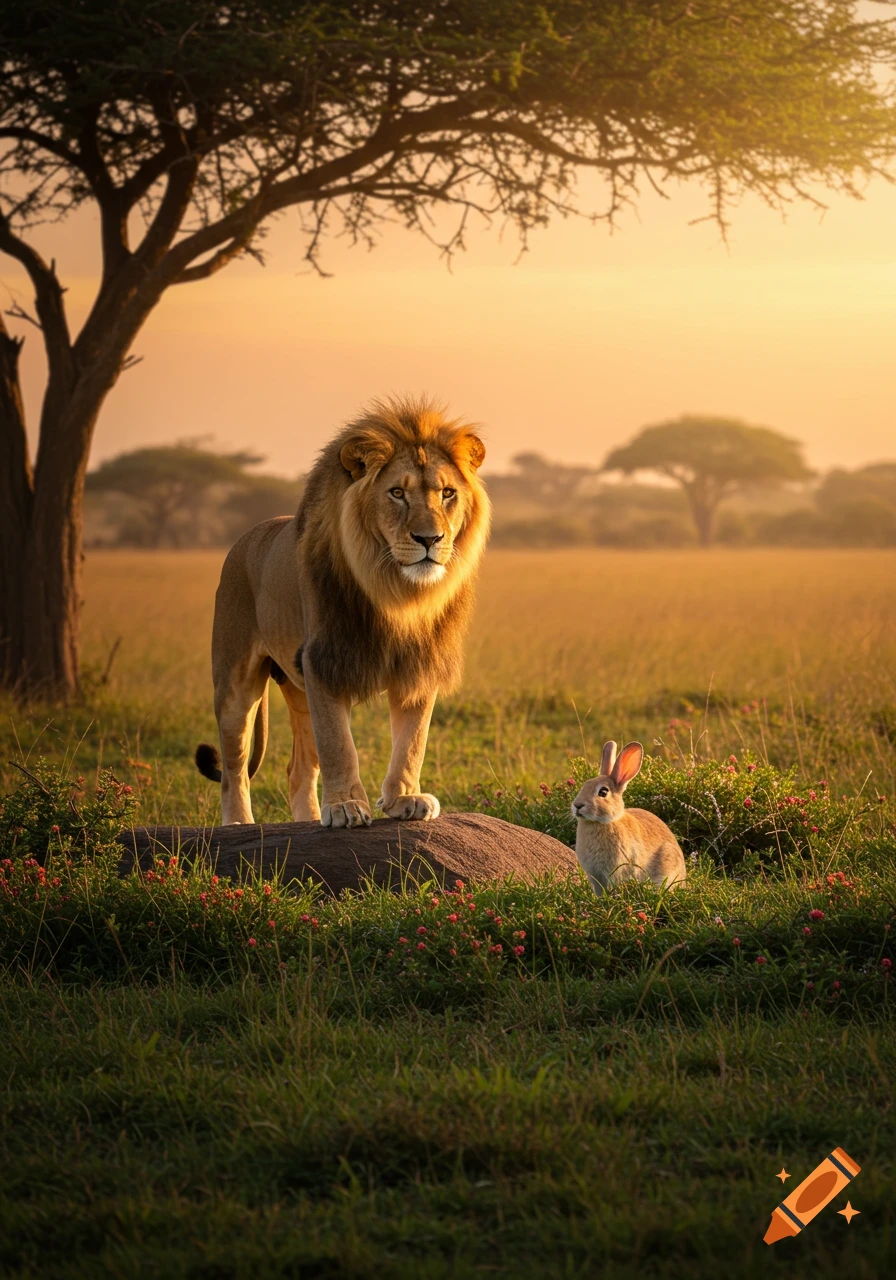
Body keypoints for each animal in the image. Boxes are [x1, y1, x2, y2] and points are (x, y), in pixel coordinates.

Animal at [195, 396, 491, 827]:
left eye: (448, 493)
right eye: (397, 493)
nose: (430, 539)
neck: (396, 591)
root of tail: (248, 535)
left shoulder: (419, 664)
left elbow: (412, 741)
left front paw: (405, 799)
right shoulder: (326, 661)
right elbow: (339, 745)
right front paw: (346, 806)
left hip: (298, 688)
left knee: (298, 770)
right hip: (236, 682)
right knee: (235, 768)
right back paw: (237, 824)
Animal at [572, 740, 686, 895]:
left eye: (603, 792)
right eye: (585, 785)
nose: (577, 805)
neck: (602, 822)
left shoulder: (616, 870)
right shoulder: (595, 875)